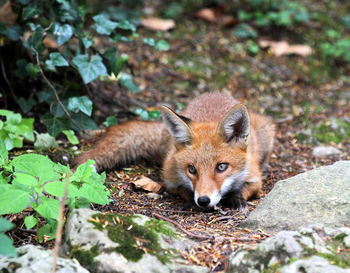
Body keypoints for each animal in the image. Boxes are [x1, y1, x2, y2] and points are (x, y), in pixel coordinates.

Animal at [72, 91, 274, 208]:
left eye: (222, 167)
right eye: (192, 169)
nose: (203, 201)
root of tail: (214, 93)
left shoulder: (254, 178)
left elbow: (245, 189)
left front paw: (235, 199)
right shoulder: (170, 178)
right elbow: (182, 191)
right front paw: (192, 200)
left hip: (266, 130)